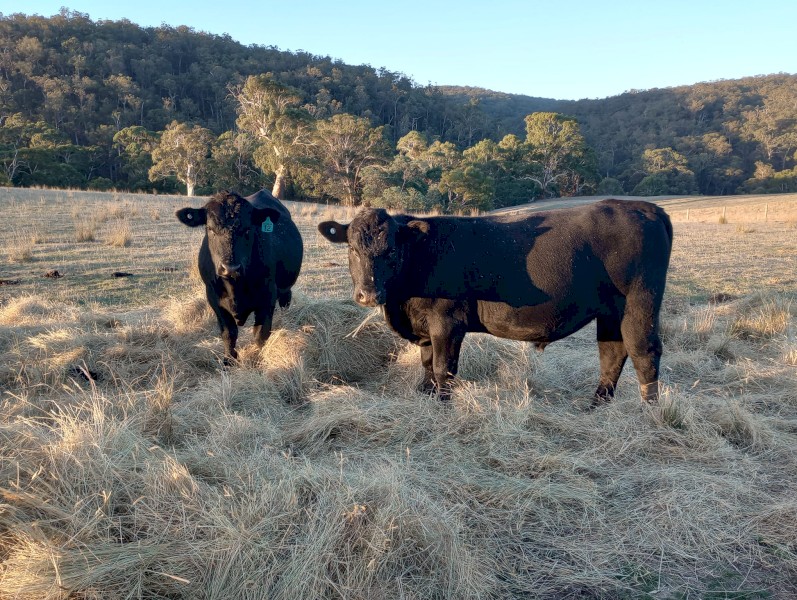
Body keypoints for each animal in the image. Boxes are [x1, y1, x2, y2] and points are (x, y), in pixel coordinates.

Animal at [177, 189, 303, 363]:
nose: (230, 268)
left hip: (285, 287)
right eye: (210, 229)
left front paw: (257, 358)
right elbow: (228, 333)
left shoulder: (268, 297)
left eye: (248, 229)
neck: (235, 287)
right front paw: (229, 359)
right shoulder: (214, 298)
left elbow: (260, 334)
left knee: (285, 302)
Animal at [318, 199, 673, 406]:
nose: (369, 294)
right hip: (611, 311)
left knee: (644, 352)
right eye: (352, 248)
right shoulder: (424, 326)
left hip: (640, 303)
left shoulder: (447, 323)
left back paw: (650, 412)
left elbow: (443, 367)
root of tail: (648, 208)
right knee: (612, 352)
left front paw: (443, 404)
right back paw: (597, 404)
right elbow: (426, 363)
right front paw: (426, 394)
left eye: (391, 250)